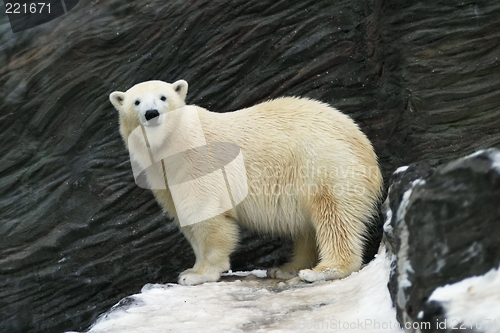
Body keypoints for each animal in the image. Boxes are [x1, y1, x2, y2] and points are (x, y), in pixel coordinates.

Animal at [109, 79, 382, 284]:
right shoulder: (164, 177)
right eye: (136, 102)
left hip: (323, 162)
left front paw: (199, 274)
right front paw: (191, 269)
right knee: (309, 226)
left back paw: (322, 270)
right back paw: (286, 267)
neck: (171, 145)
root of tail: (364, 144)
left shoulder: (198, 161)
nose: (151, 113)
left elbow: (206, 214)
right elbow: (184, 215)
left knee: (333, 214)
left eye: (163, 97)